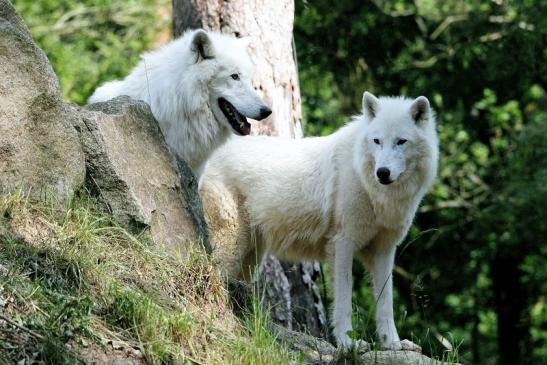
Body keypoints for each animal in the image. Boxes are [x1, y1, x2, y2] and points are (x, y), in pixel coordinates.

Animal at [199, 91, 438, 350]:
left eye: (401, 141)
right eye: (377, 141)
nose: (382, 172)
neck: (371, 188)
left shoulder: (384, 250)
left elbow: (386, 303)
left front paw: (392, 344)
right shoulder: (343, 244)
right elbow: (344, 300)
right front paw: (348, 343)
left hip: (249, 260)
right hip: (231, 247)